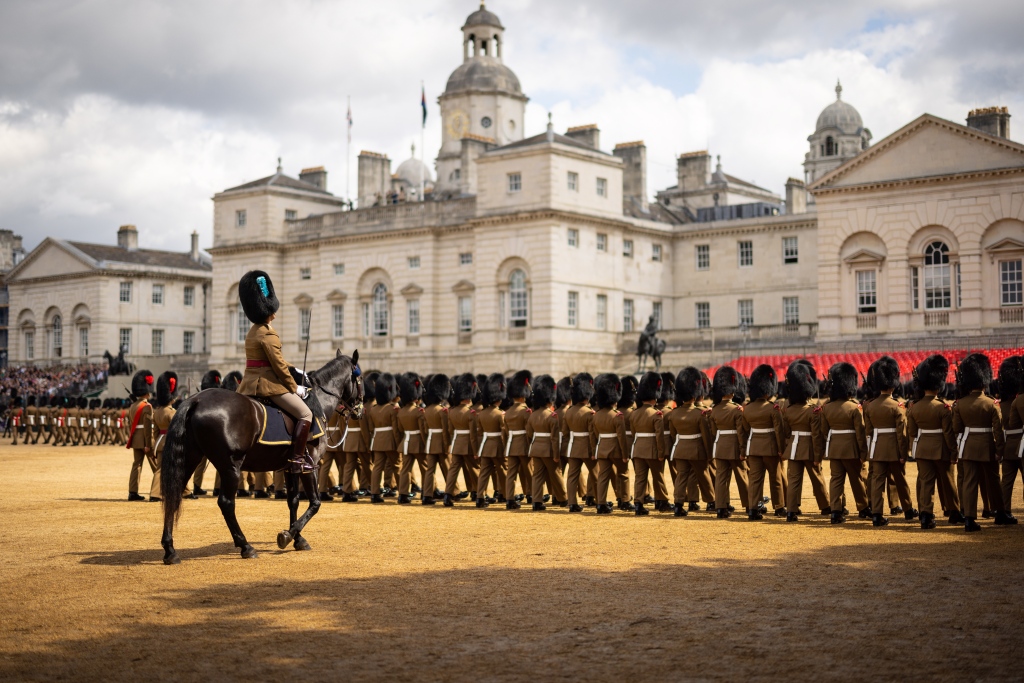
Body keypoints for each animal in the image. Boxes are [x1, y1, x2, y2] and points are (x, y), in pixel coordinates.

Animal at [159, 350, 364, 565]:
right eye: (359, 379)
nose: (360, 410)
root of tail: (195, 400)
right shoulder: (310, 465)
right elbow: (315, 503)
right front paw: (288, 535)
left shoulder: (291, 466)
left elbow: (293, 501)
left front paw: (297, 538)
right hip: (230, 466)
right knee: (226, 503)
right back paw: (245, 546)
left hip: (190, 459)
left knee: (174, 494)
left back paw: (170, 550)